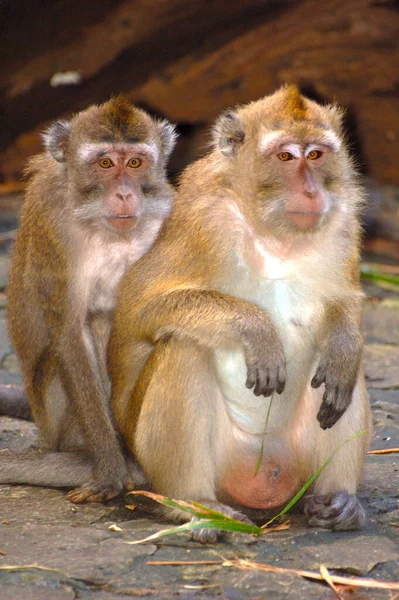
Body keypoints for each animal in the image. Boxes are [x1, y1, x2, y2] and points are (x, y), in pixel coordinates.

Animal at [0, 96, 177, 504]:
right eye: (105, 163)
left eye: (135, 163)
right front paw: (110, 472)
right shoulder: (53, 224)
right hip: (57, 419)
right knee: (100, 323)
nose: (125, 194)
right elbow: (71, 332)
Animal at [107, 85, 372, 544]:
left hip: (297, 462)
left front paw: (342, 345)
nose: (311, 191)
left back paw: (340, 500)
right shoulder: (203, 222)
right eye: (285, 156)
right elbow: (137, 309)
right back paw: (195, 505)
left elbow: (345, 304)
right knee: (185, 346)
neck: (275, 233)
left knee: (345, 377)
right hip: (213, 460)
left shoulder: (343, 224)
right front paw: (256, 330)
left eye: (316, 154)